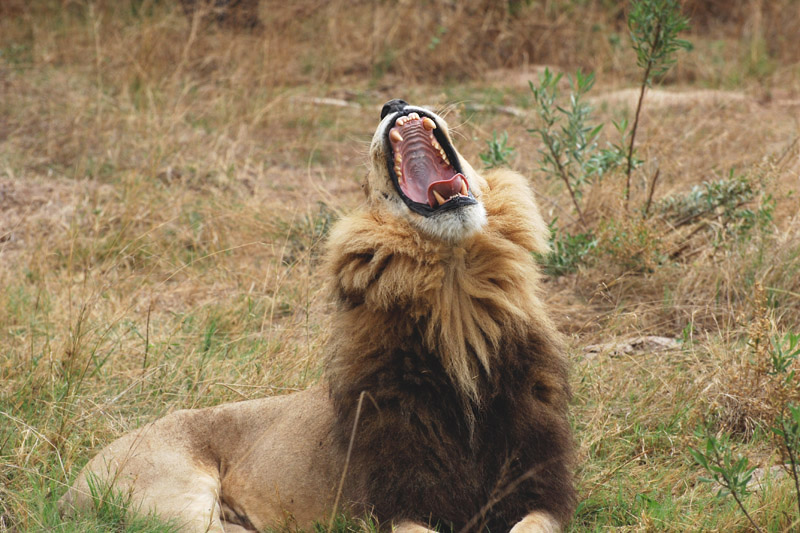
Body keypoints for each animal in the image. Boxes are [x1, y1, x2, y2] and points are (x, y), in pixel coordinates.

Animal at [60, 99, 576, 533]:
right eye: (368, 182)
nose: (394, 103)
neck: (456, 299)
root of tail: (73, 485)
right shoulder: (399, 502)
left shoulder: (540, 488)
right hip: (175, 497)